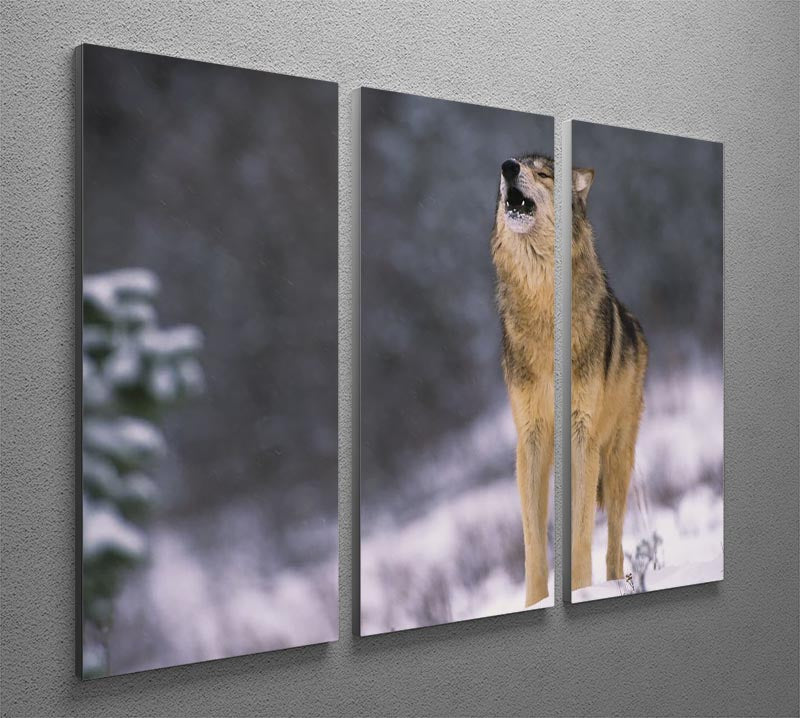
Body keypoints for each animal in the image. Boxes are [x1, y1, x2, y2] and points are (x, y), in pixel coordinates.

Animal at [491, 155, 647, 604]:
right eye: (509, 169)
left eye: (543, 173)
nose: (508, 167)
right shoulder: (531, 438)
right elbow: (532, 542)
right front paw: (535, 601)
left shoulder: (582, 434)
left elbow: (579, 534)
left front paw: (579, 590)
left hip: (616, 460)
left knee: (613, 544)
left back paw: (615, 585)